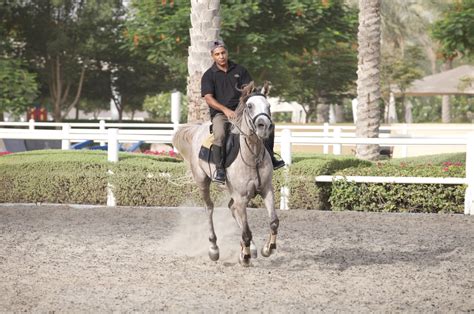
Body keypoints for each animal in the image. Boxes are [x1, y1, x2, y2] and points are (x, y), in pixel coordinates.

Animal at [172, 80, 280, 264]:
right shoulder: (241, 197)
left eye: (268, 106)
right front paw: (245, 256)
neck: (252, 156)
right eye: (249, 106)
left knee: (231, 208)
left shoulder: (267, 190)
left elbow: (273, 221)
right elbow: (246, 231)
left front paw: (267, 248)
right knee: (209, 208)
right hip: (203, 182)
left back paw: (251, 247)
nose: (264, 126)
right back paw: (214, 248)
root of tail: (197, 129)